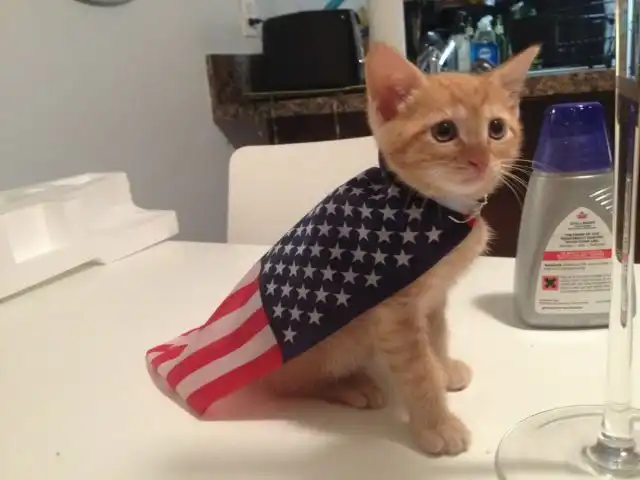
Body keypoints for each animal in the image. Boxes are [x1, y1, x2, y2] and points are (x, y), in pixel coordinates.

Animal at [261, 42, 540, 456]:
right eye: (444, 131)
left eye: (496, 128)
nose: (481, 160)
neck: (435, 211)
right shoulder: (396, 316)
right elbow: (417, 372)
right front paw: (437, 424)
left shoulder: (434, 298)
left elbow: (437, 335)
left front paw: (444, 368)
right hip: (336, 341)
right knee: (289, 385)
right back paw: (352, 385)